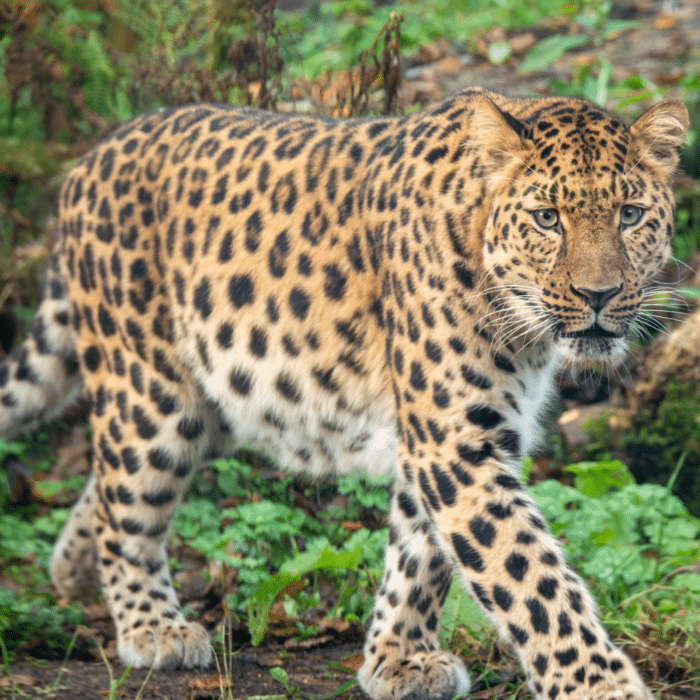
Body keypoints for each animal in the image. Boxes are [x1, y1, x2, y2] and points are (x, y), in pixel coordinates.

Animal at [0, 89, 688, 700]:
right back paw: (152, 627)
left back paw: (73, 570)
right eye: (548, 218)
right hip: (153, 392)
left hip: (218, 395)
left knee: (108, 481)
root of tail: (90, 159)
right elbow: (528, 573)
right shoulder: (453, 441)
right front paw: (598, 685)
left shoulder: (454, 434)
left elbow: (420, 554)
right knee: (128, 502)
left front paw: (399, 660)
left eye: (629, 215)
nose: (598, 294)